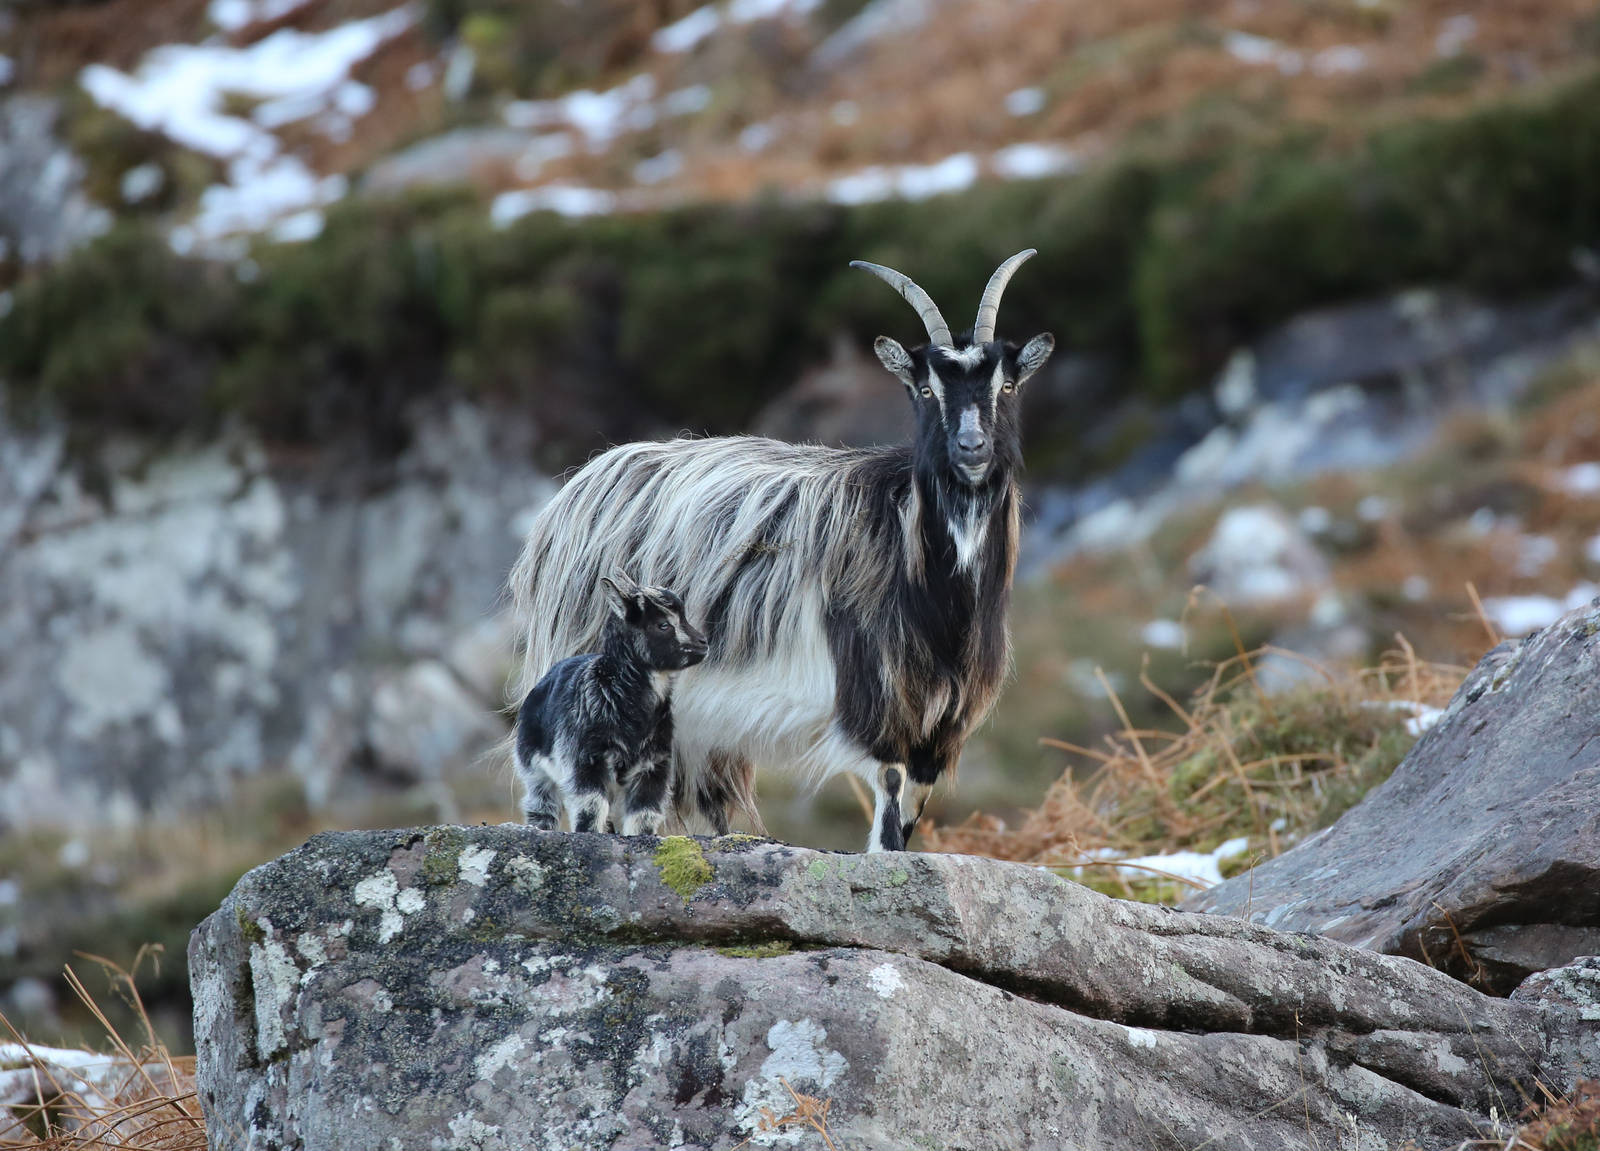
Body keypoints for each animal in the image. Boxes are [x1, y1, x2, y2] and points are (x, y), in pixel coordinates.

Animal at [513, 572, 708, 834]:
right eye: (663, 624)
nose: (703, 643)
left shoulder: (654, 764)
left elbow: (644, 813)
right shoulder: (585, 759)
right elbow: (592, 805)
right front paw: (588, 833)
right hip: (533, 769)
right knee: (542, 804)